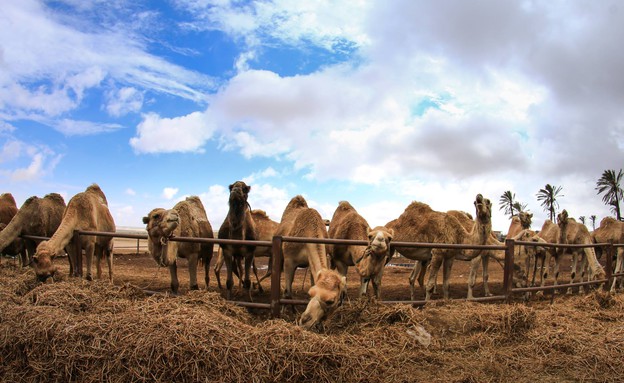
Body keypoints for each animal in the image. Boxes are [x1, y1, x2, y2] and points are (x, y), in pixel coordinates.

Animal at [276, 196, 348, 332]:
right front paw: (291, 313)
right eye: (311, 293)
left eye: (330, 301)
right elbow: (288, 291)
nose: (304, 321)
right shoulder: (289, 261)